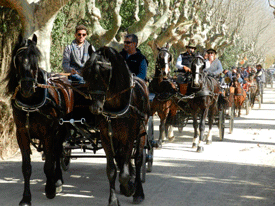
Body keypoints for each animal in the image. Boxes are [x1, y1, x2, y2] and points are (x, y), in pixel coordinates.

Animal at [4, 34, 73, 205]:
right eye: (18, 59)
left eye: (36, 59)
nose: (27, 88)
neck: (31, 103)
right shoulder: (21, 134)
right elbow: (26, 168)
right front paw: (26, 198)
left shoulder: (48, 133)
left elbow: (48, 164)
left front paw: (50, 189)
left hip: (61, 130)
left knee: (57, 152)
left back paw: (57, 180)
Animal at [82, 45, 151, 205]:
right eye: (86, 72)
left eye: (105, 72)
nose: (95, 108)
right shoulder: (106, 137)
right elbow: (112, 170)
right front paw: (113, 199)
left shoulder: (129, 137)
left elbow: (125, 172)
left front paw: (130, 188)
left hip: (141, 131)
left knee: (138, 159)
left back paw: (138, 191)